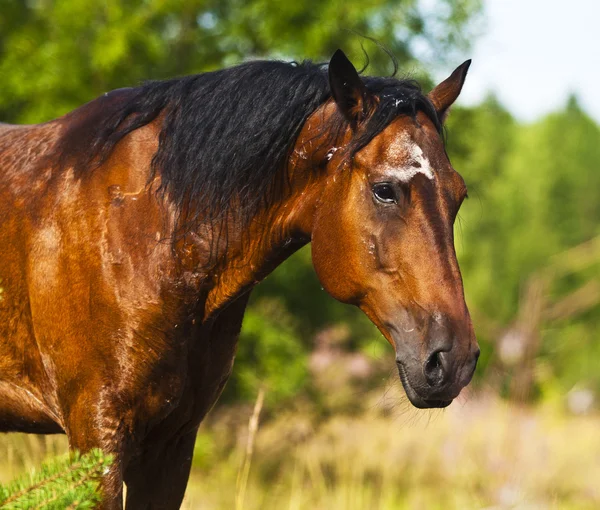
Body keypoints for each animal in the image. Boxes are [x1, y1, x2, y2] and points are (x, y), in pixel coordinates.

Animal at [0, 48, 478, 510]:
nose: (452, 359)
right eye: (384, 190)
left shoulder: (171, 444)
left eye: (459, 196)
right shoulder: (96, 439)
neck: (140, 226)